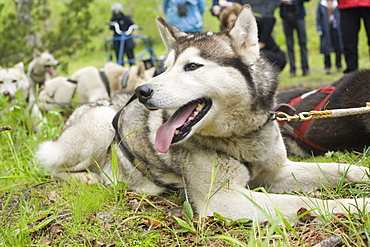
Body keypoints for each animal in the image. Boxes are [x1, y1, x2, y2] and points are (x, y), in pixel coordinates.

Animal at [36, 5, 368, 222]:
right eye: (165, 67)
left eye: (192, 66)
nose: (142, 91)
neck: (240, 136)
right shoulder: (224, 198)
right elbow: (306, 203)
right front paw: (359, 204)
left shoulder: (278, 171)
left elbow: (341, 168)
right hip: (100, 125)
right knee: (54, 166)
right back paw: (93, 179)